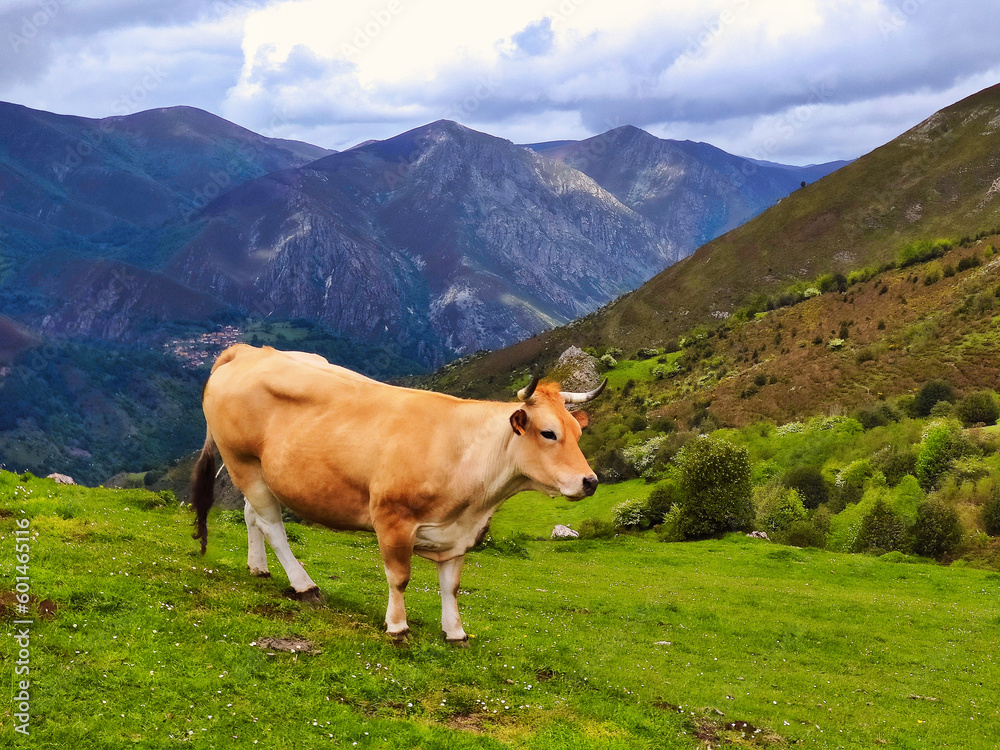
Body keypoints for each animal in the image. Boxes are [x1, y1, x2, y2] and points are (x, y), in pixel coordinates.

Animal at [190, 344, 604, 644]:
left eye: (578, 432)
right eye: (548, 433)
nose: (591, 481)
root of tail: (248, 351)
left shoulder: (460, 533)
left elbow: (452, 585)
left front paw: (455, 632)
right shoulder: (393, 519)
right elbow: (399, 577)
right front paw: (397, 626)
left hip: (258, 470)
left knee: (252, 515)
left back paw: (258, 567)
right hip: (241, 461)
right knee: (273, 526)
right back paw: (305, 585)